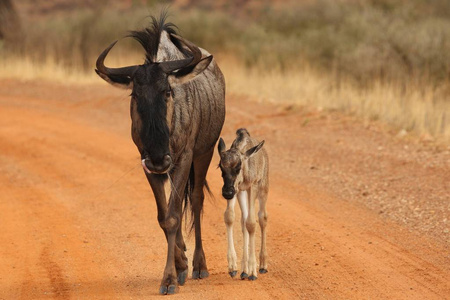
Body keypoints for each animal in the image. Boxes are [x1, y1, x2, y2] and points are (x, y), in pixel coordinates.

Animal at [217, 127, 268, 280]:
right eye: (220, 166)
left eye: (238, 166)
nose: (227, 192)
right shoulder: (237, 189)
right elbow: (230, 217)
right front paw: (233, 267)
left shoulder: (252, 187)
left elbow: (252, 223)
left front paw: (253, 271)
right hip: (241, 193)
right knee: (243, 220)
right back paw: (244, 269)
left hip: (263, 189)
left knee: (262, 218)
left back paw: (262, 266)